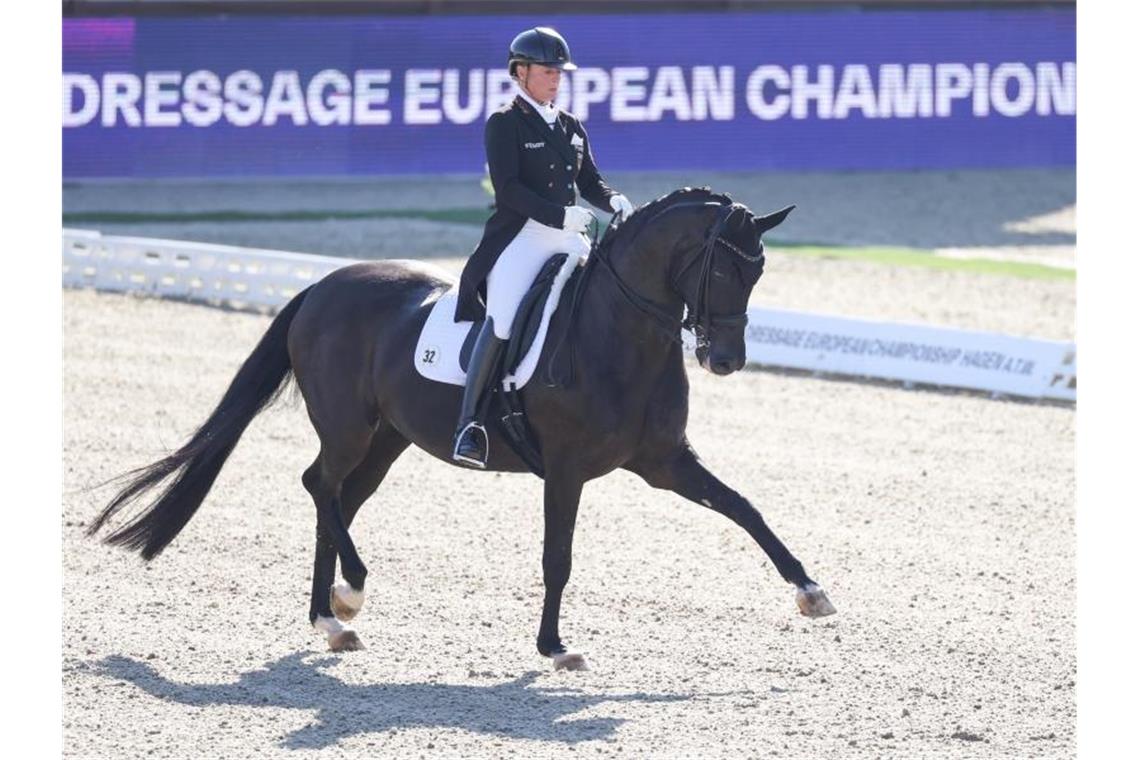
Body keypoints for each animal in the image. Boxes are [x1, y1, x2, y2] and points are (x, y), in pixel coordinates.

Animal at [88, 186, 839, 669]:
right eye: (722, 267)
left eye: (760, 270)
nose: (725, 359)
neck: (618, 332)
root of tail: (321, 288)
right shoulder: (566, 470)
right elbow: (558, 557)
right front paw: (555, 648)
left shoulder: (663, 461)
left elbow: (744, 508)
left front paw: (811, 592)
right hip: (349, 428)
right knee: (317, 485)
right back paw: (349, 594)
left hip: (386, 440)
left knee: (337, 499)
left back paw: (332, 618)